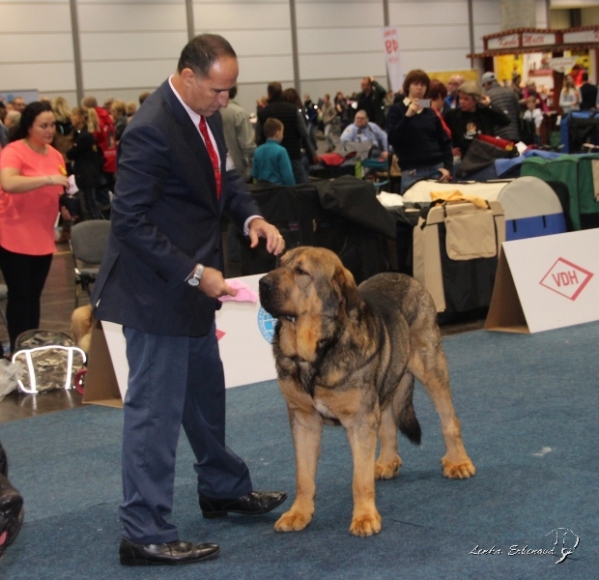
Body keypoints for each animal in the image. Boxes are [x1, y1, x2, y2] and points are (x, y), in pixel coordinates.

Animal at [260, 247, 476, 536]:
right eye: (279, 263)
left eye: (301, 271)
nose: (262, 283)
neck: (316, 353)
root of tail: (405, 275)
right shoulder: (304, 420)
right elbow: (303, 477)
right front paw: (299, 514)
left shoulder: (360, 419)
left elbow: (359, 479)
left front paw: (364, 518)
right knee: (388, 423)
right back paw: (386, 461)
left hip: (431, 366)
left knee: (449, 420)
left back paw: (458, 462)